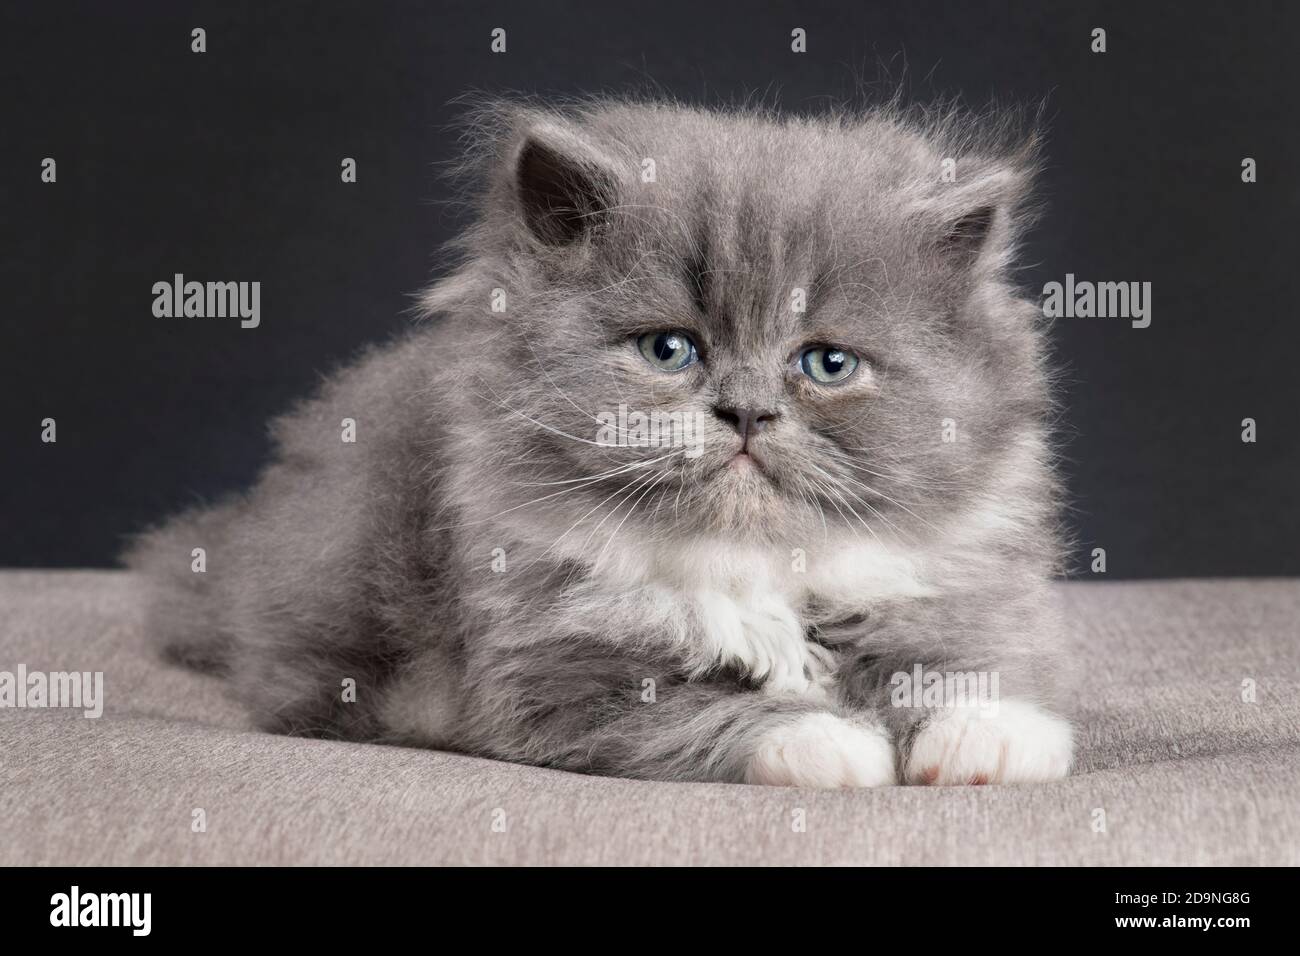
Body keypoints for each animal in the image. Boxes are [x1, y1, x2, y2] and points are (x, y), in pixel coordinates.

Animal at [126, 97, 1071, 790]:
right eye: (670, 350)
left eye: (827, 364)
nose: (746, 412)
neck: (747, 565)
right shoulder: (561, 684)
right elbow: (700, 710)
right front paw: (827, 742)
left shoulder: (943, 595)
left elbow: (952, 667)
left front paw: (989, 737)